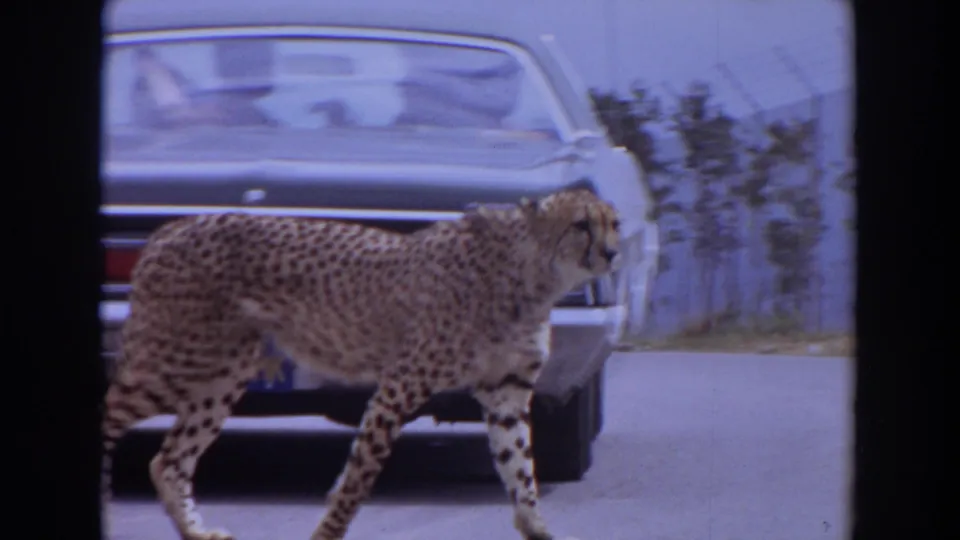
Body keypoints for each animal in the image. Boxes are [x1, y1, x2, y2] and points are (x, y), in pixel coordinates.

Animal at [100, 187, 623, 540]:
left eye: (614, 223)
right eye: (581, 225)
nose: (614, 252)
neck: (533, 274)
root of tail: (173, 227)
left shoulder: (506, 393)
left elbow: (521, 473)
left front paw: (537, 528)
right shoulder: (399, 386)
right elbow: (356, 481)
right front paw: (325, 533)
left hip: (220, 376)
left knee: (169, 461)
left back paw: (196, 531)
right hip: (173, 361)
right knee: (112, 415)